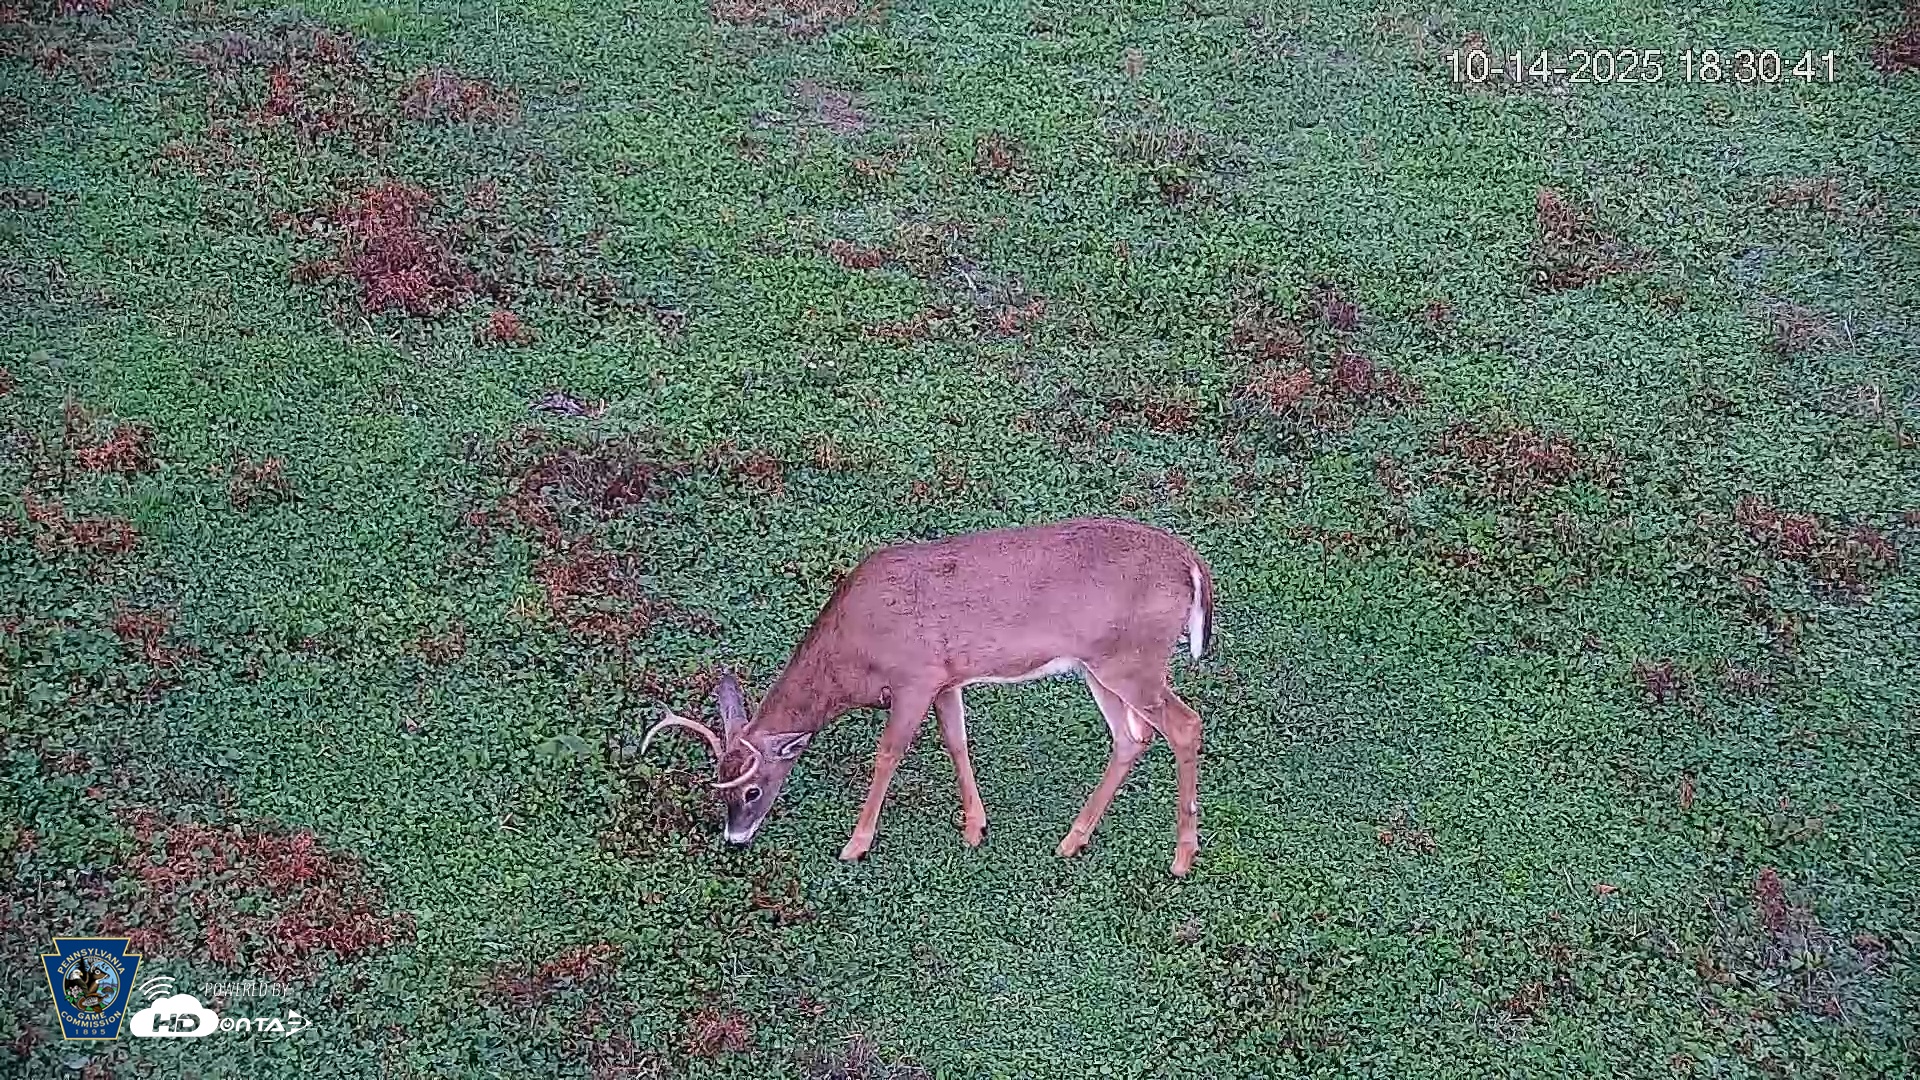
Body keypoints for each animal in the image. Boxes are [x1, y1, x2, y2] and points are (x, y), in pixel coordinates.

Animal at [641, 517, 1215, 876]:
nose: (734, 838)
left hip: (1133, 660)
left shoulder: (914, 678)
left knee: (1184, 724)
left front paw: (856, 844)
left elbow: (888, 754)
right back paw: (1073, 840)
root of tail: (1191, 564)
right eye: (721, 785)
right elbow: (957, 741)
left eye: (752, 790)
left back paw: (1182, 858)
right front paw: (976, 828)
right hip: (1101, 666)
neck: (854, 651)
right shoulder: (945, 679)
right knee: (1132, 737)